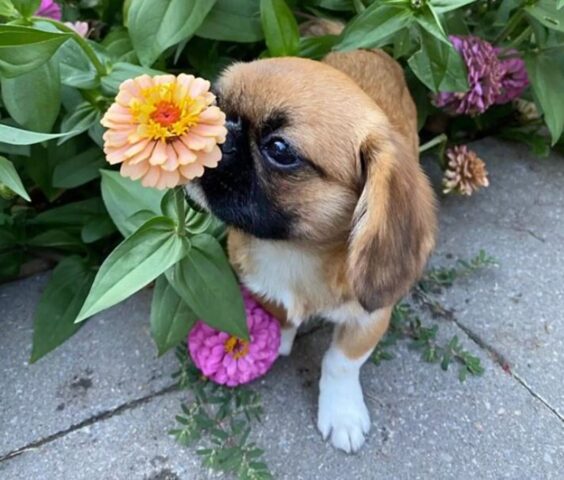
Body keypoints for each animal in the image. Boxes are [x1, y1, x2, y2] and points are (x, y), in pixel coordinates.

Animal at [185, 27, 436, 454]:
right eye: (217, 104)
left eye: (279, 149)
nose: (218, 129)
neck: (294, 249)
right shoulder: (257, 282)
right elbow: (279, 310)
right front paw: (280, 338)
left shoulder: (369, 319)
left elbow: (339, 362)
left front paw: (342, 414)